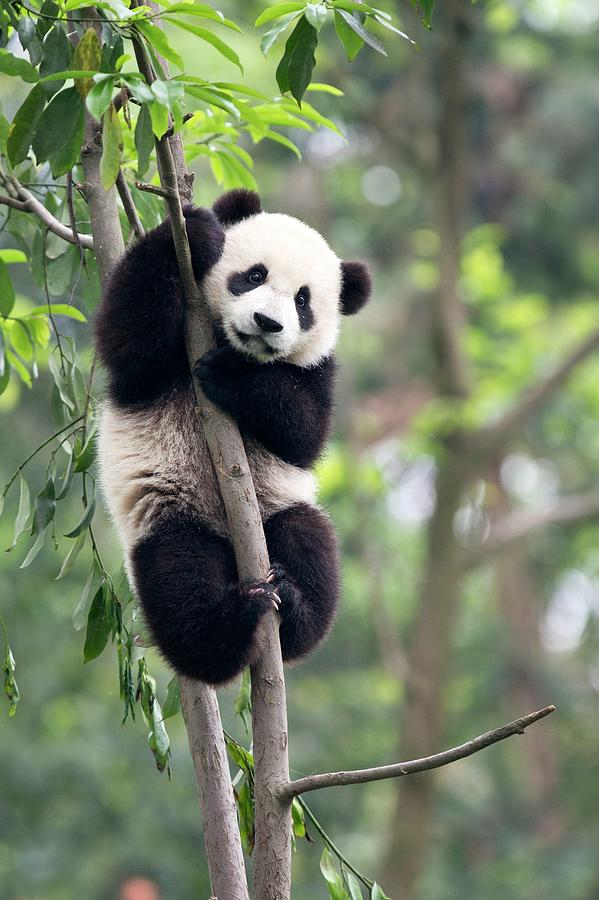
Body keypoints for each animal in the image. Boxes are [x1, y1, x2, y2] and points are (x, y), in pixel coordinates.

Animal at [95, 190, 370, 684]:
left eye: (303, 302)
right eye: (255, 275)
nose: (267, 322)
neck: (227, 340)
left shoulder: (320, 372)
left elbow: (304, 432)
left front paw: (230, 375)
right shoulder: (154, 357)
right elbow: (126, 339)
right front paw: (195, 229)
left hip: (278, 507)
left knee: (309, 542)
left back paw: (291, 607)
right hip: (171, 518)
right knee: (178, 583)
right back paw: (234, 621)